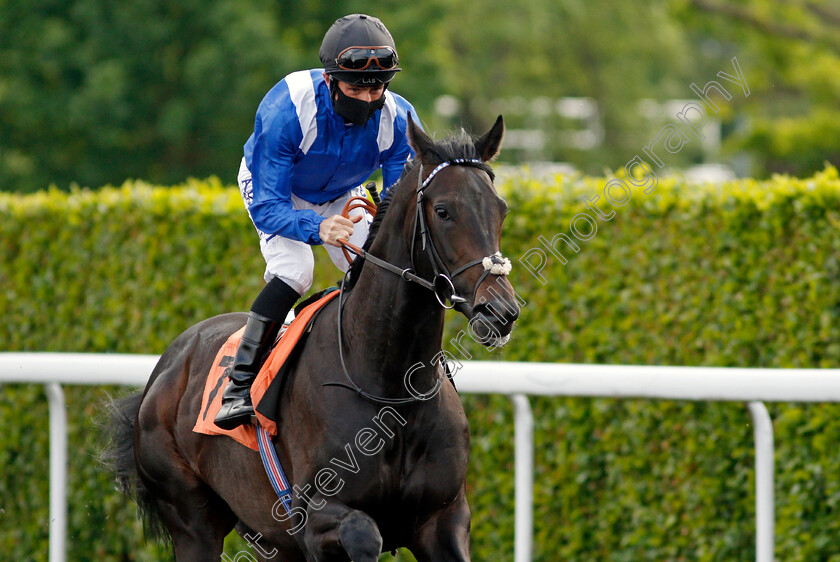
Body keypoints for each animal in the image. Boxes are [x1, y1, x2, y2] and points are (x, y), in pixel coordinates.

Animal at [105, 115, 520, 560]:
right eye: (443, 211)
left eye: (501, 209)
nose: (500, 311)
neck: (391, 385)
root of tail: (164, 369)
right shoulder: (313, 515)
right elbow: (363, 533)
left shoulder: (443, 519)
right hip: (192, 520)